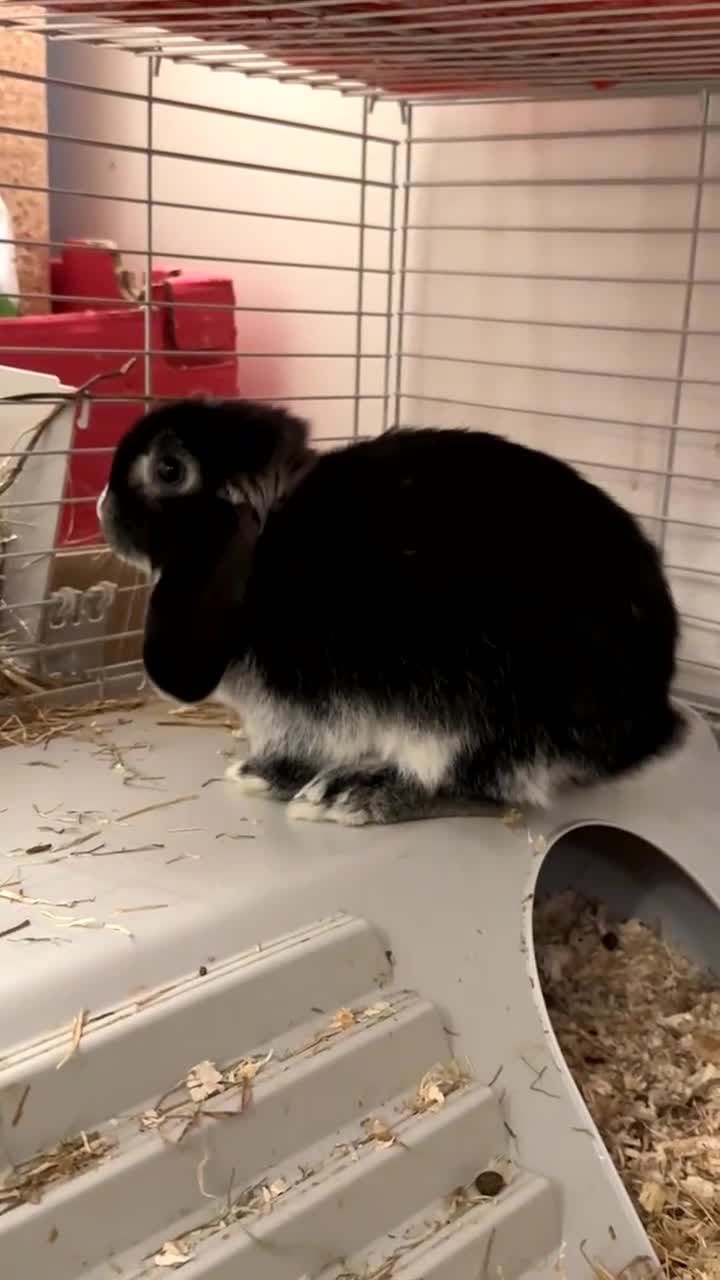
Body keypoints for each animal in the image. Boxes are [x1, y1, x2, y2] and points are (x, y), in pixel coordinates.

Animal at [99, 398, 684, 826]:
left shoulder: (304, 702)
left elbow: (299, 744)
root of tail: (647, 718)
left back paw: (352, 794)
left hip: (483, 711)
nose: (102, 506)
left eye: (169, 469)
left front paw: (262, 774)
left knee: (478, 784)